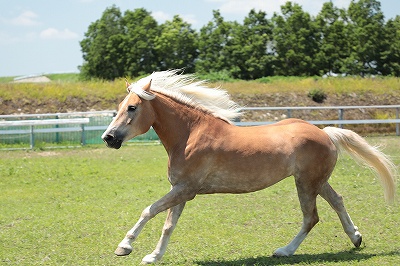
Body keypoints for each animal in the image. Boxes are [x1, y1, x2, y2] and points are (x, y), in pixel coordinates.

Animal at [101, 69, 396, 264]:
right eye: (121, 106)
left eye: (132, 108)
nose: (108, 138)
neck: (190, 134)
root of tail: (325, 133)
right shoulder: (181, 190)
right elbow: (168, 225)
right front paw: (153, 255)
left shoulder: (186, 189)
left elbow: (149, 211)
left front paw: (124, 246)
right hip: (316, 181)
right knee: (337, 201)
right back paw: (356, 238)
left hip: (306, 183)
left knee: (311, 217)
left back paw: (284, 251)